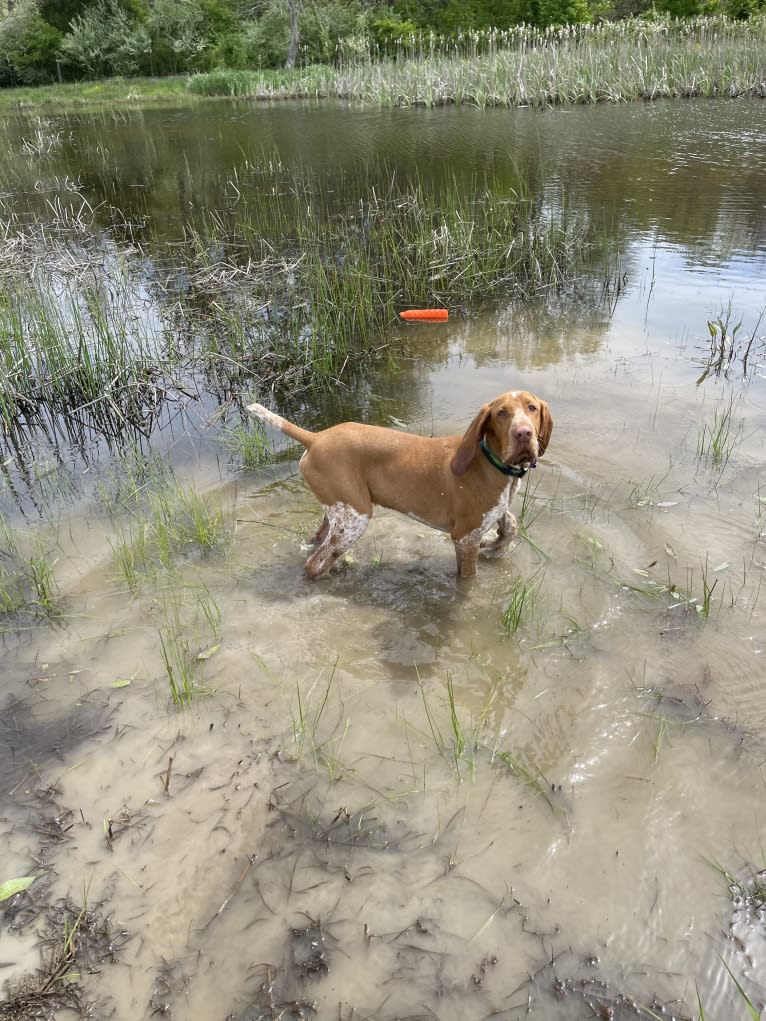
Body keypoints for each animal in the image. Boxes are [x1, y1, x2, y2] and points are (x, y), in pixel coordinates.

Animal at [249, 390, 555, 579]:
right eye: (501, 413)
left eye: (532, 408)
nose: (524, 433)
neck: (490, 461)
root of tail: (315, 438)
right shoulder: (465, 538)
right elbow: (469, 580)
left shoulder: (491, 515)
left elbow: (510, 525)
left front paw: (496, 545)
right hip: (356, 518)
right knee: (314, 564)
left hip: (337, 513)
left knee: (318, 544)